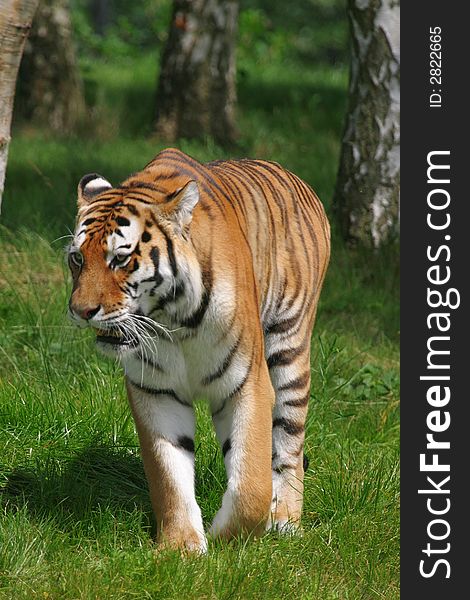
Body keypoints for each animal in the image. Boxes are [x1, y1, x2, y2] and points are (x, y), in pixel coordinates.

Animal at [68, 148, 330, 552]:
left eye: (120, 259)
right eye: (77, 258)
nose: (81, 311)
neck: (175, 321)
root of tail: (294, 177)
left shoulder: (247, 382)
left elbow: (252, 481)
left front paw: (226, 537)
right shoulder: (156, 391)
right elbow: (169, 474)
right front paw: (182, 548)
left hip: (290, 349)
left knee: (289, 444)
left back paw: (286, 519)